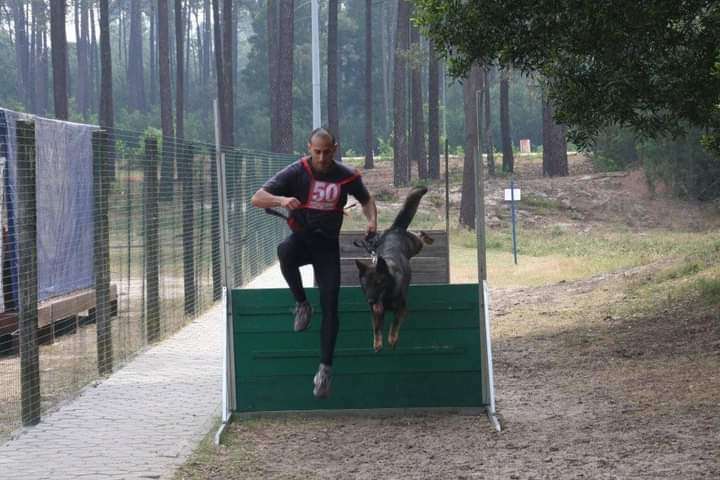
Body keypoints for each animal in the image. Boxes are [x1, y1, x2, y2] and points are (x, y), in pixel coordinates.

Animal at [356, 188, 430, 352]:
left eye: (378, 282)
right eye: (365, 285)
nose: (370, 300)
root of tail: (395, 229)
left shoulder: (402, 309)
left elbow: (394, 324)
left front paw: (392, 339)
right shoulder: (376, 312)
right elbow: (377, 327)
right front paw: (377, 343)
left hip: (415, 246)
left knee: (419, 237)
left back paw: (426, 236)